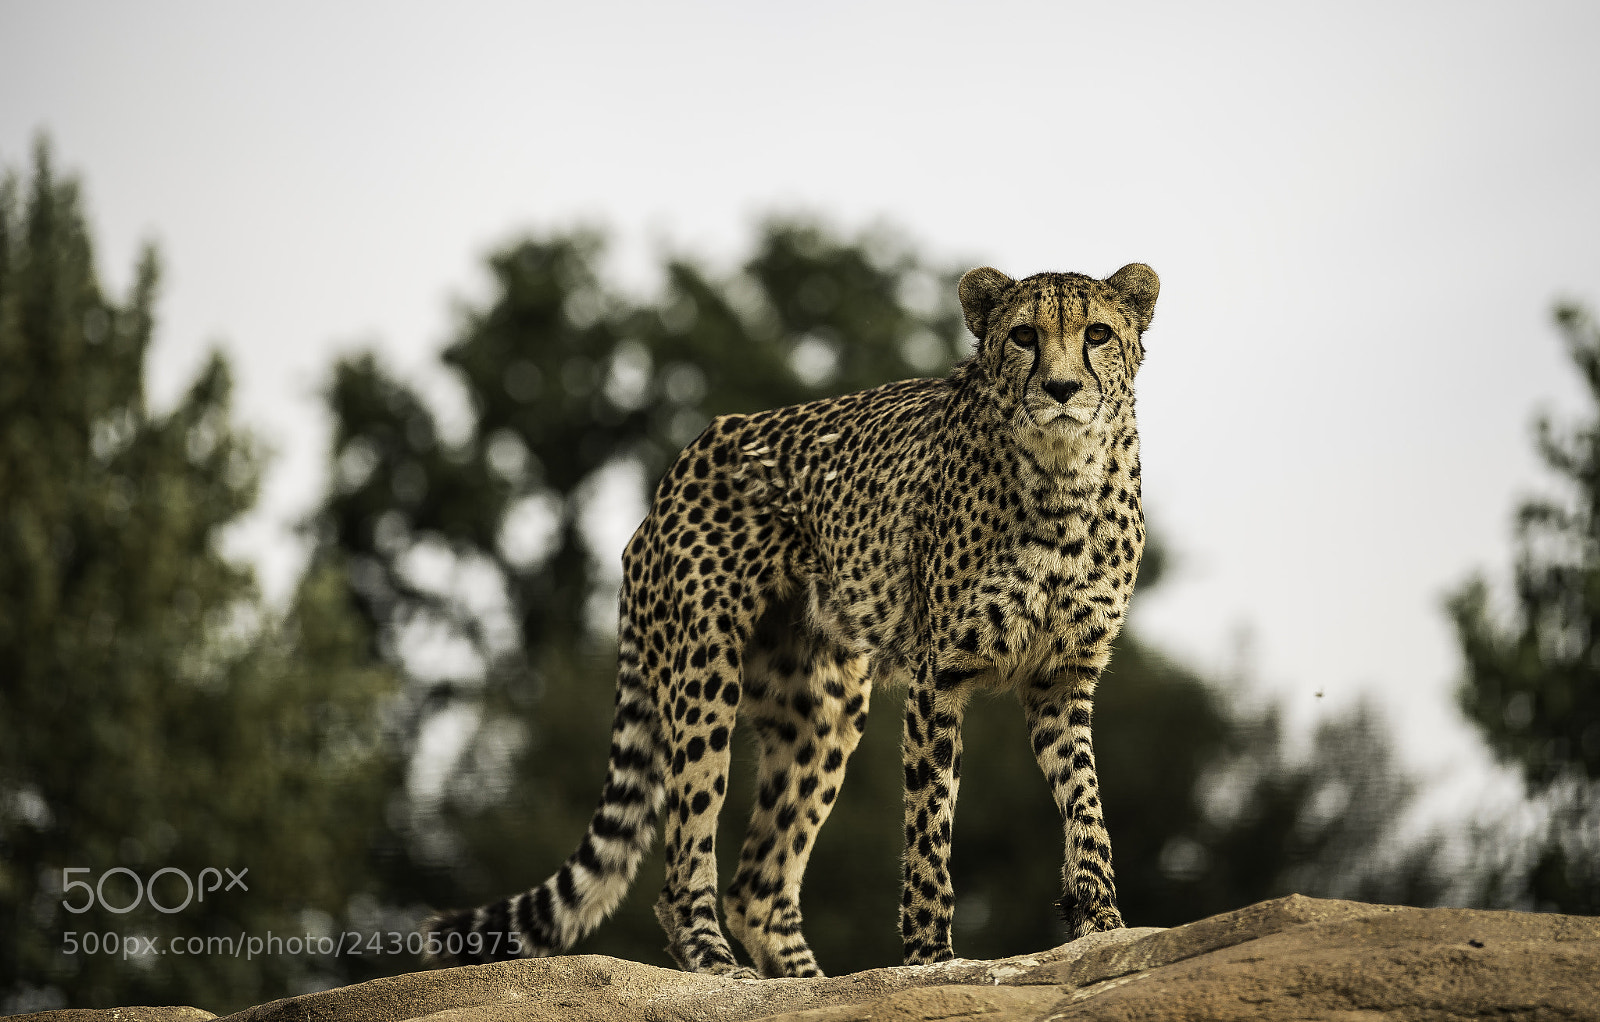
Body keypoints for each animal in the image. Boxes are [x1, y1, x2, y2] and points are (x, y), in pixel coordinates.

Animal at [424, 262, 1160, 978]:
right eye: (1023, 336)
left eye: (1096, 333)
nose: (1062, 388)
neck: (1064, 477)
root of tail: (670, 481)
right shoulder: (939, 679)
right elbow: (929, 829)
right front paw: (930, 959)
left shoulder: (1063, 678)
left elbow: (1086, 803)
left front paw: (1104, 926)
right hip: (704, 674)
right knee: (687, 859)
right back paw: (719, 966)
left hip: (823, 709)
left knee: (759, 885)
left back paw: (811, 983)